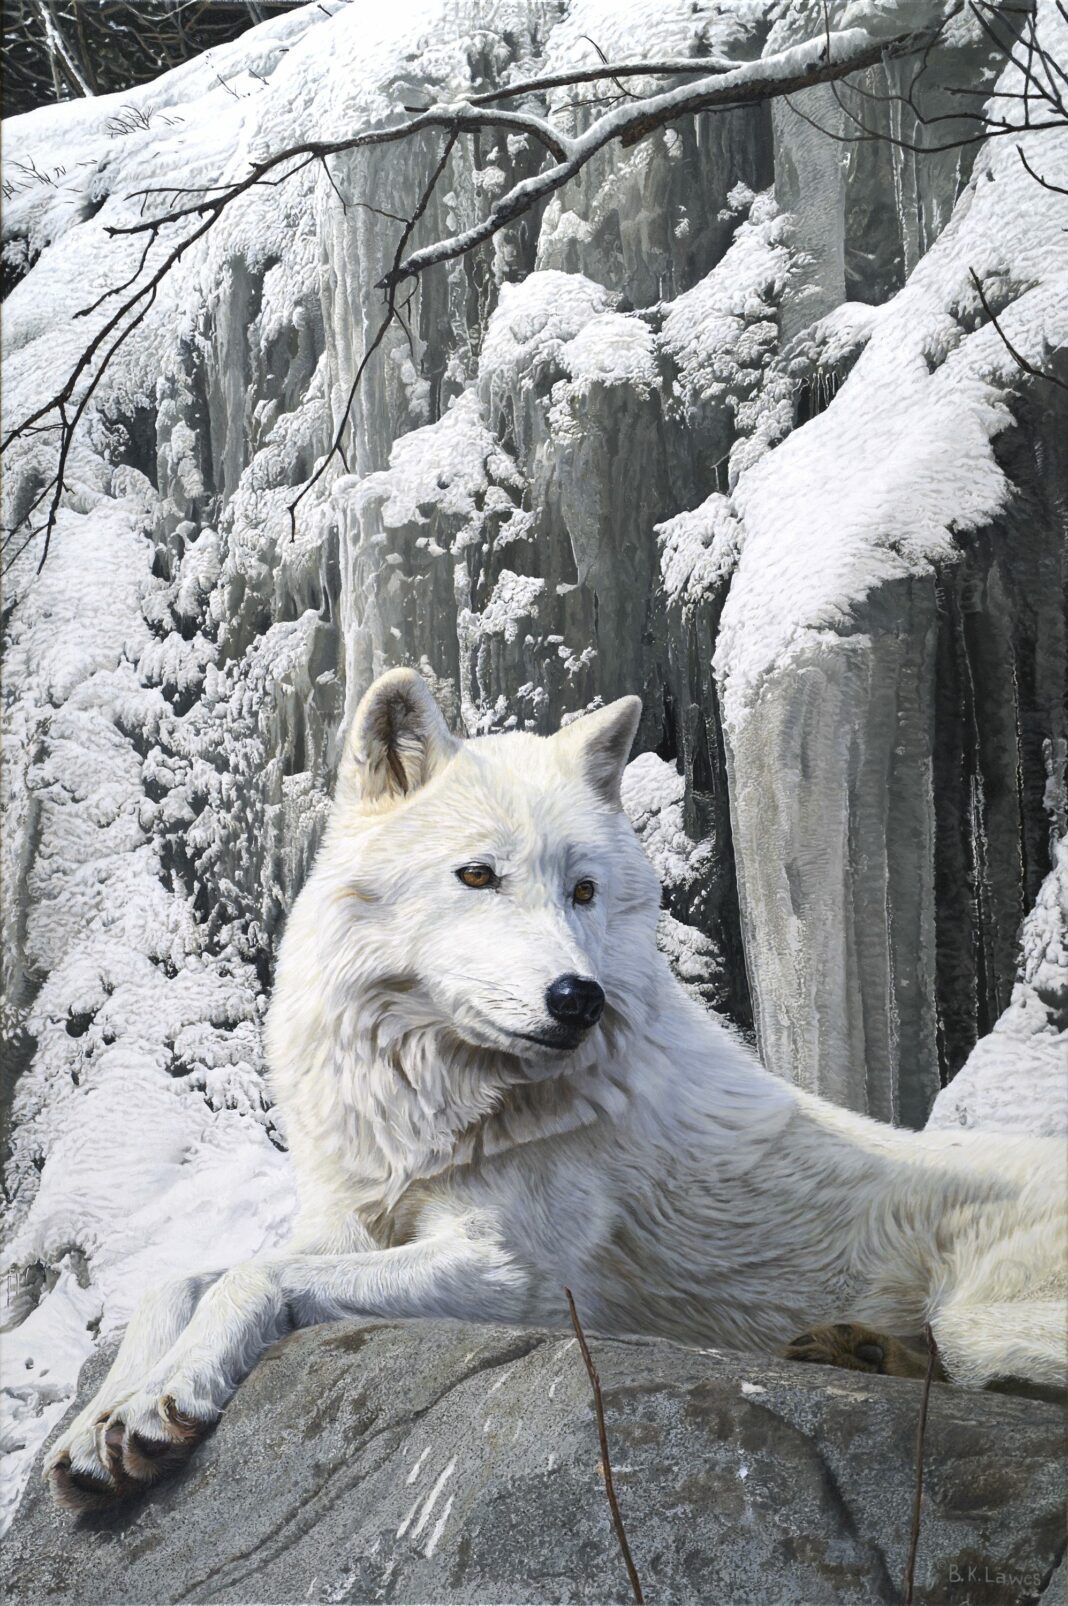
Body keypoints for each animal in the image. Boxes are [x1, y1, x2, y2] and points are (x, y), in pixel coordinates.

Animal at [47, 669, 1067, 1509]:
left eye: (582, 890)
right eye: (476, 874)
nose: (579, 999)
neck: (432, 1104)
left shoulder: (514, 1278)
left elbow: (252, 1274)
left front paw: (161, 1401)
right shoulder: (348, 1228)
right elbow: (178, 1279)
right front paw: (102, 1418)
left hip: (978, 1313)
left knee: (988, 1376)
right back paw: (856, 1348)